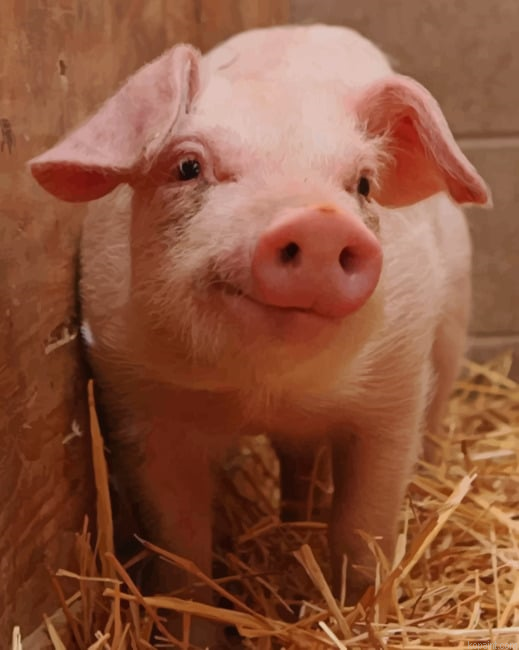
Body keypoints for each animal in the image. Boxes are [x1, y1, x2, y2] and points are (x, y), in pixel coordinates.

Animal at [30, 23, 490, 643]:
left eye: (363, 184)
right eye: (187, 166)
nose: (320, 222)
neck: (264, 391)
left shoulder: (394, 389)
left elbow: (363, 523)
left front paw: (354, 616)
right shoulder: (135, 401)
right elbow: (181, 548)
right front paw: (192, 635)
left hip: (452, 326)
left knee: (432, 422)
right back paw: (292, 518)